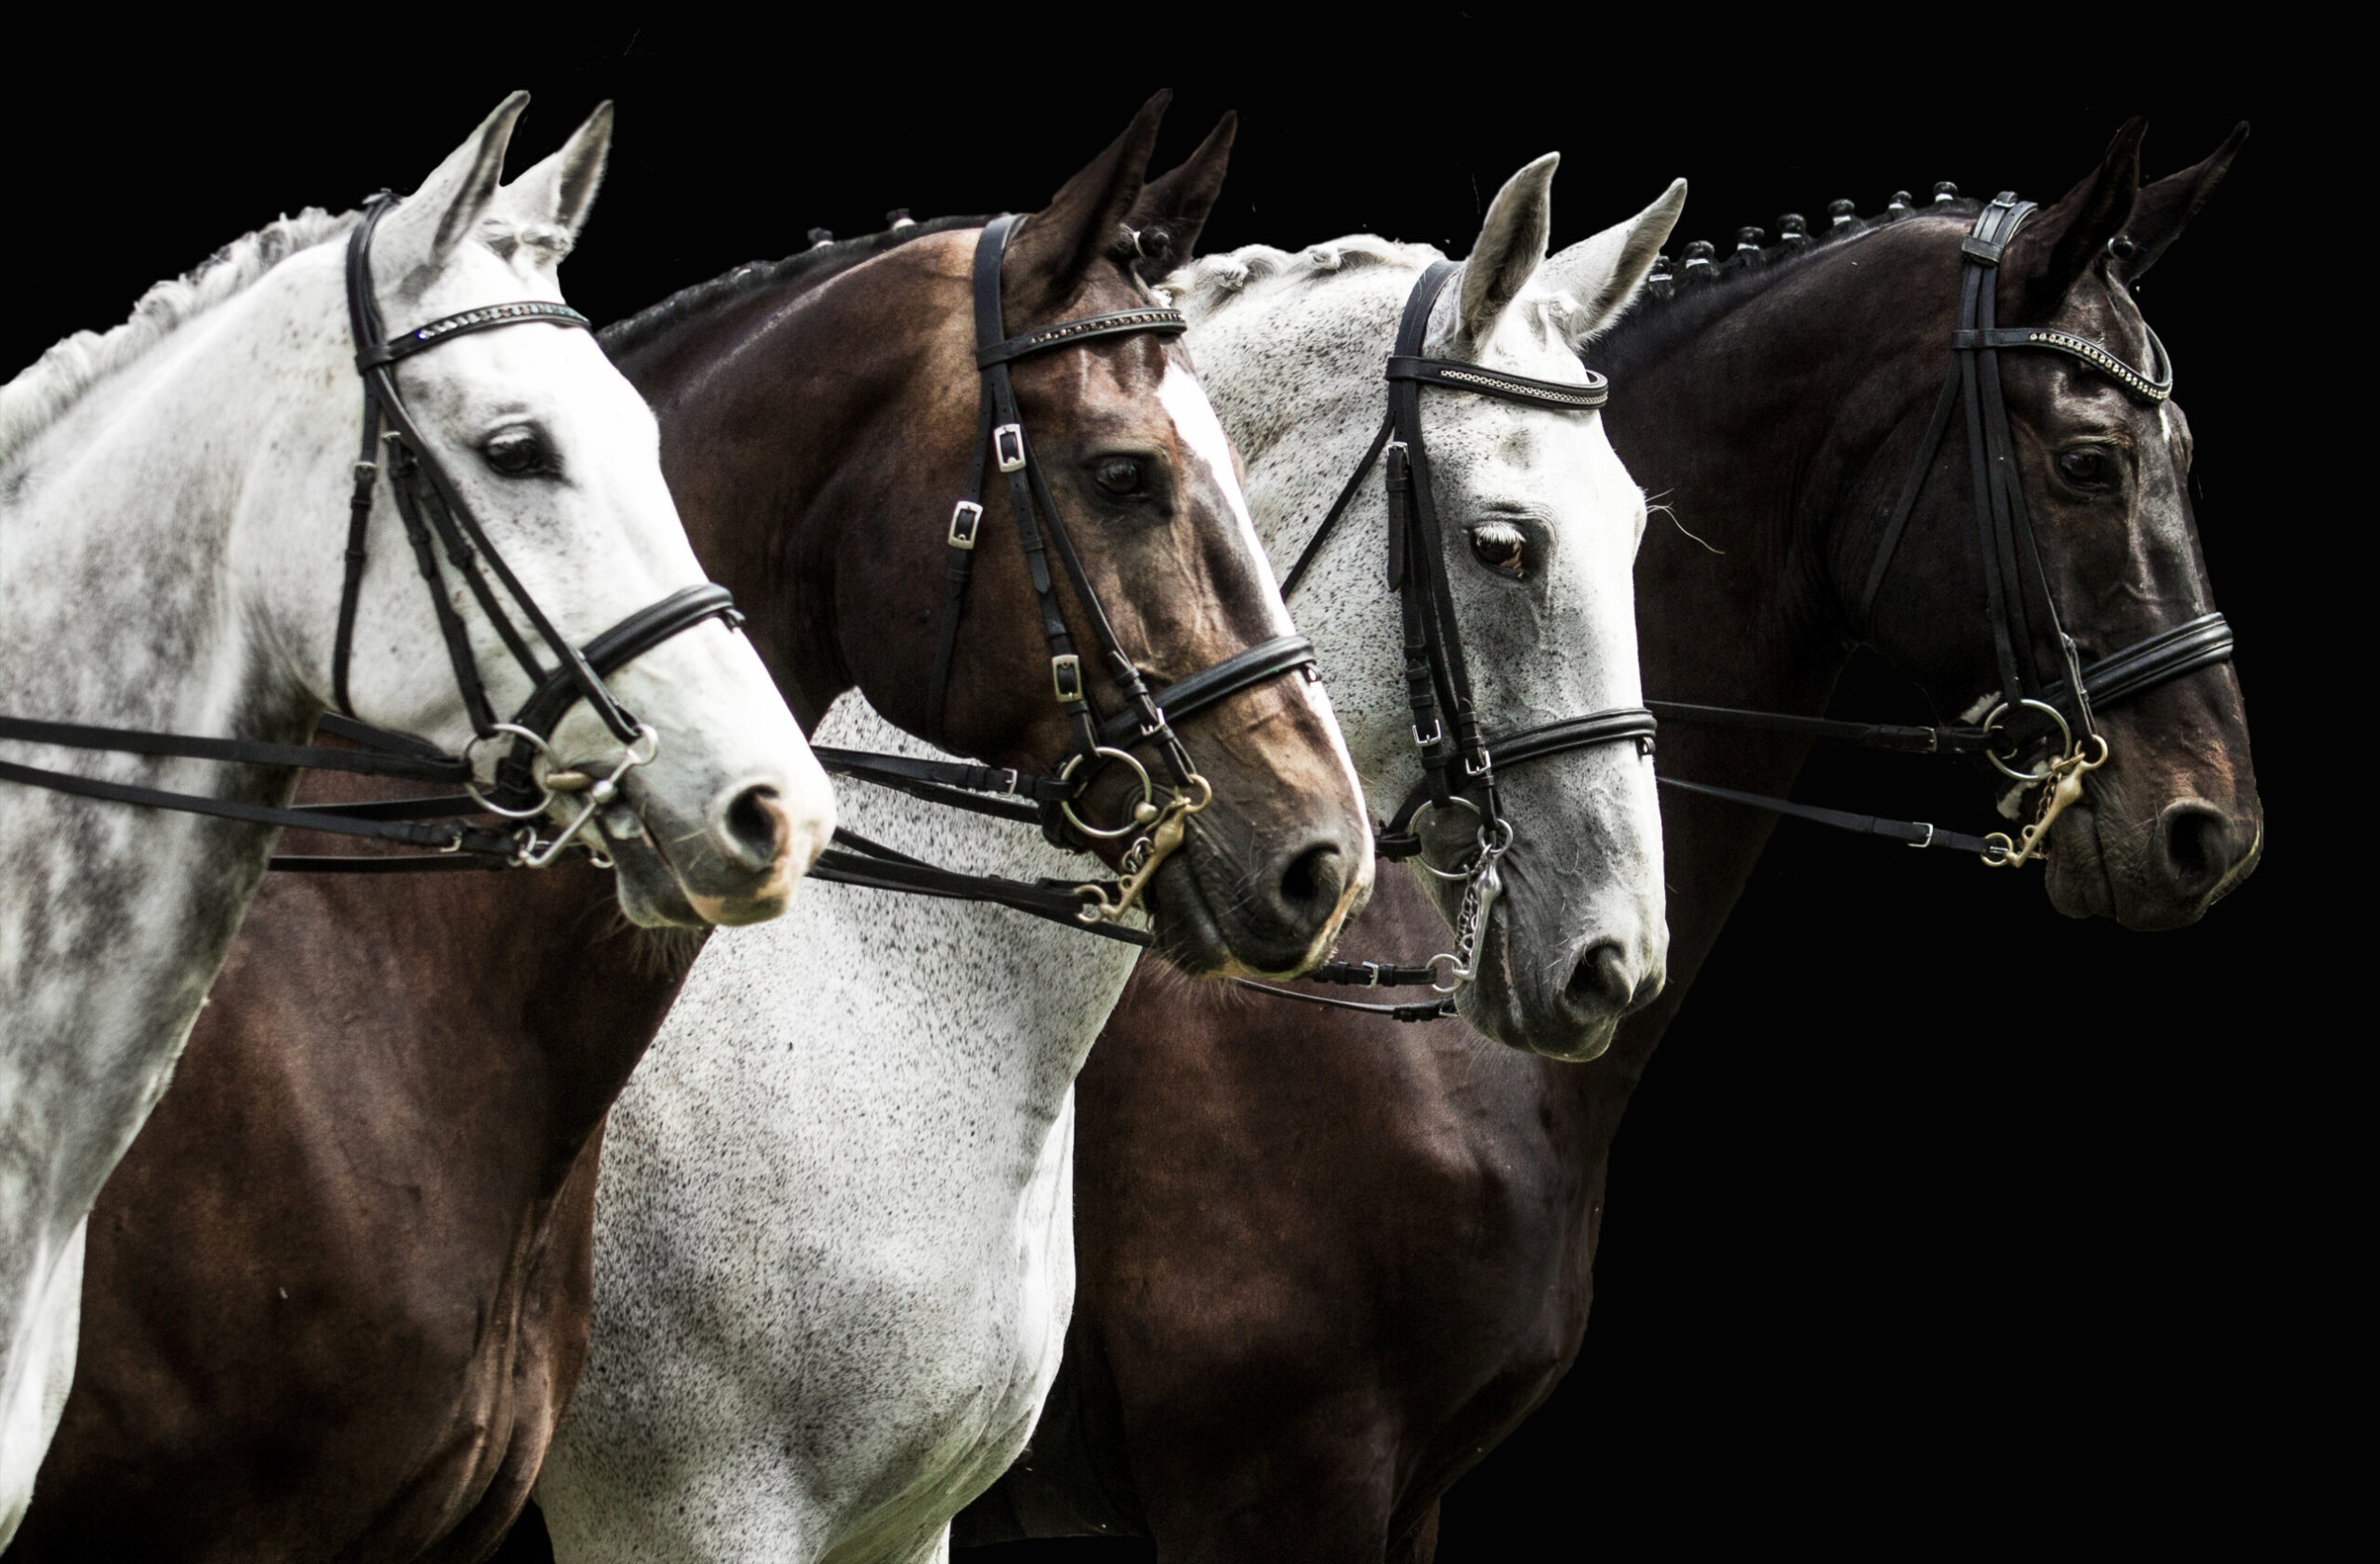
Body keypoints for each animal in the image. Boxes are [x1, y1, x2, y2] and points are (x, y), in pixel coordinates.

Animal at [540, 152, 1685, 1552]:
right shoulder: (690, 1512)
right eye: (1504, 544)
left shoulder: (908, 1516)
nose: (1614, 957)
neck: (872, 990)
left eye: (1635, 531)